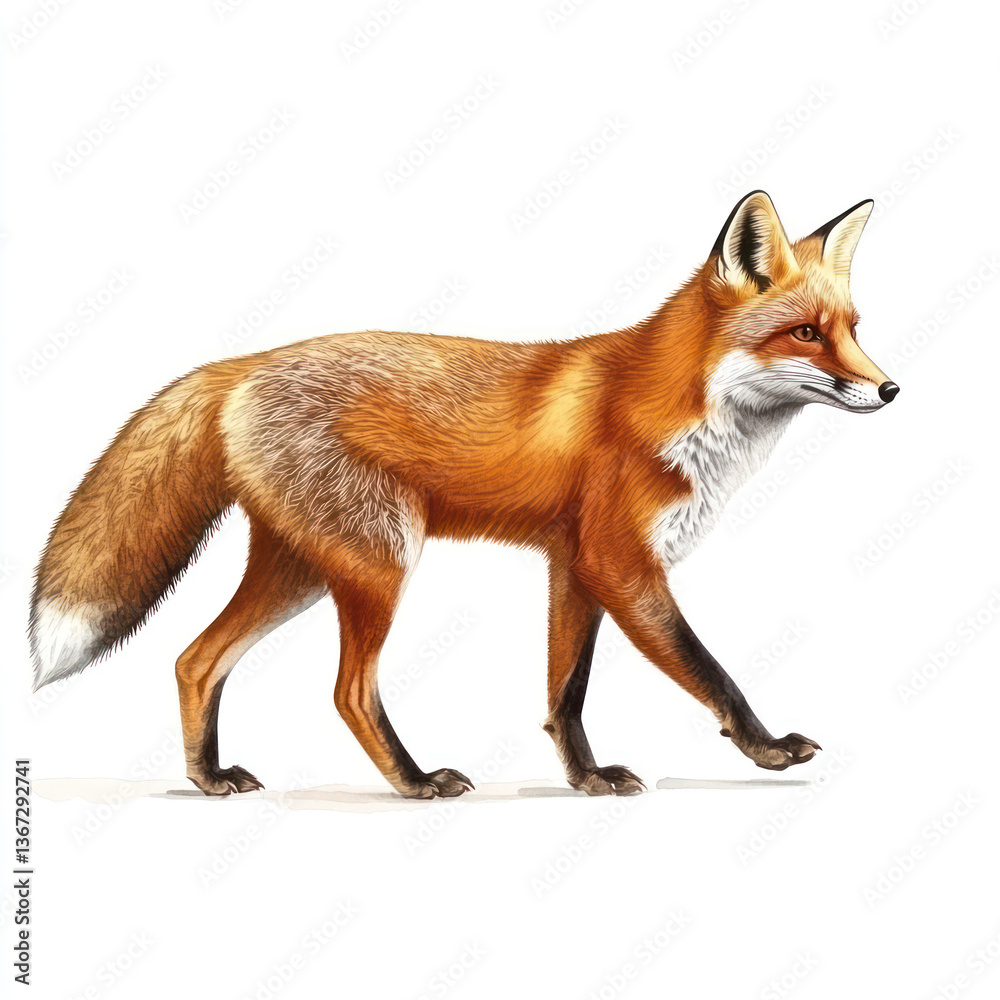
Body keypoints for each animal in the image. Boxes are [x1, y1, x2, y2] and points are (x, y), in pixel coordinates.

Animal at [30, 191, 898, 798]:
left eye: (853, 327)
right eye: (806, 334)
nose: (891, 390)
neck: (674, 404)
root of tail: (240, 365)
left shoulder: (573, 566)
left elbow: (565, 693)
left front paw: (586, 780)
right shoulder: (620, 564)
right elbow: (709, 668)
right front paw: (766, 750)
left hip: (303, 570)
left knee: (195, 659)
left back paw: (209, 778)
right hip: (380, 561)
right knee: (347, 691)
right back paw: (414, 783)